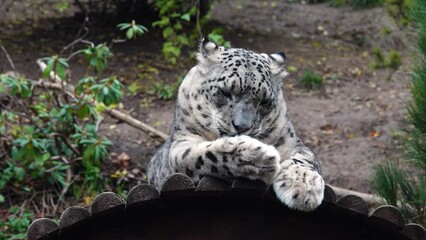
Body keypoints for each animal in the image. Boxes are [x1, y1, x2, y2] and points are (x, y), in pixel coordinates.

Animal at [148, 39, 324, 212]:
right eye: (225, 92)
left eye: (264, 101)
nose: (242, 126)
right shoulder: (179, 147)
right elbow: (203, 156)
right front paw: (256, 157)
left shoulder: (290, 141)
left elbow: (304, 157)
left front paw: (304, 186)